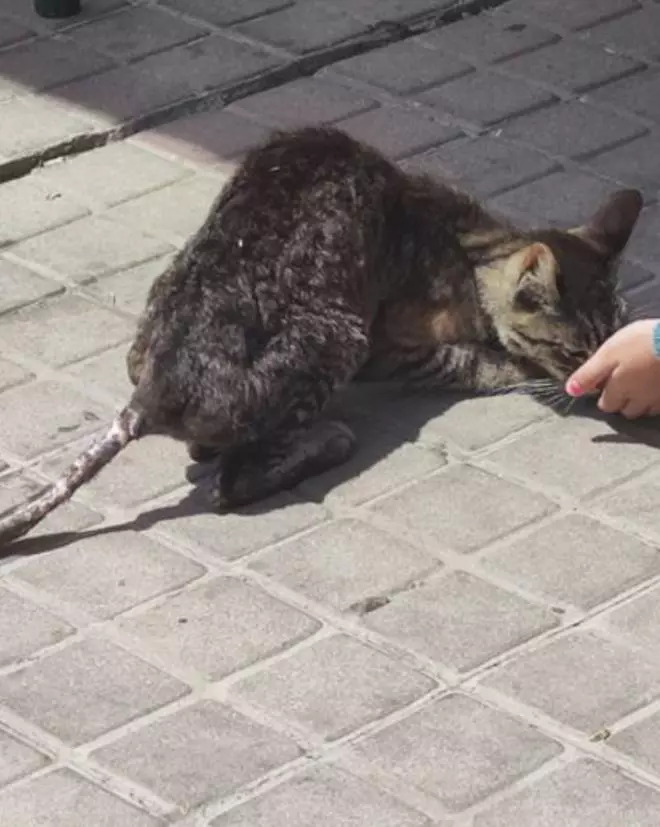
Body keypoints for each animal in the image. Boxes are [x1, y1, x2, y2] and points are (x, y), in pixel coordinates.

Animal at [0, 126, 640, 548]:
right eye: (571, 351)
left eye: (606, 340)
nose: (589, 385)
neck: (472, 242)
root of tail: (152, 393)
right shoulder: (389, 350)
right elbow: (480, 362)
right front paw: (524, 370)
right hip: (338, 336)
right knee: (230, 479)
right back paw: (327, 437)